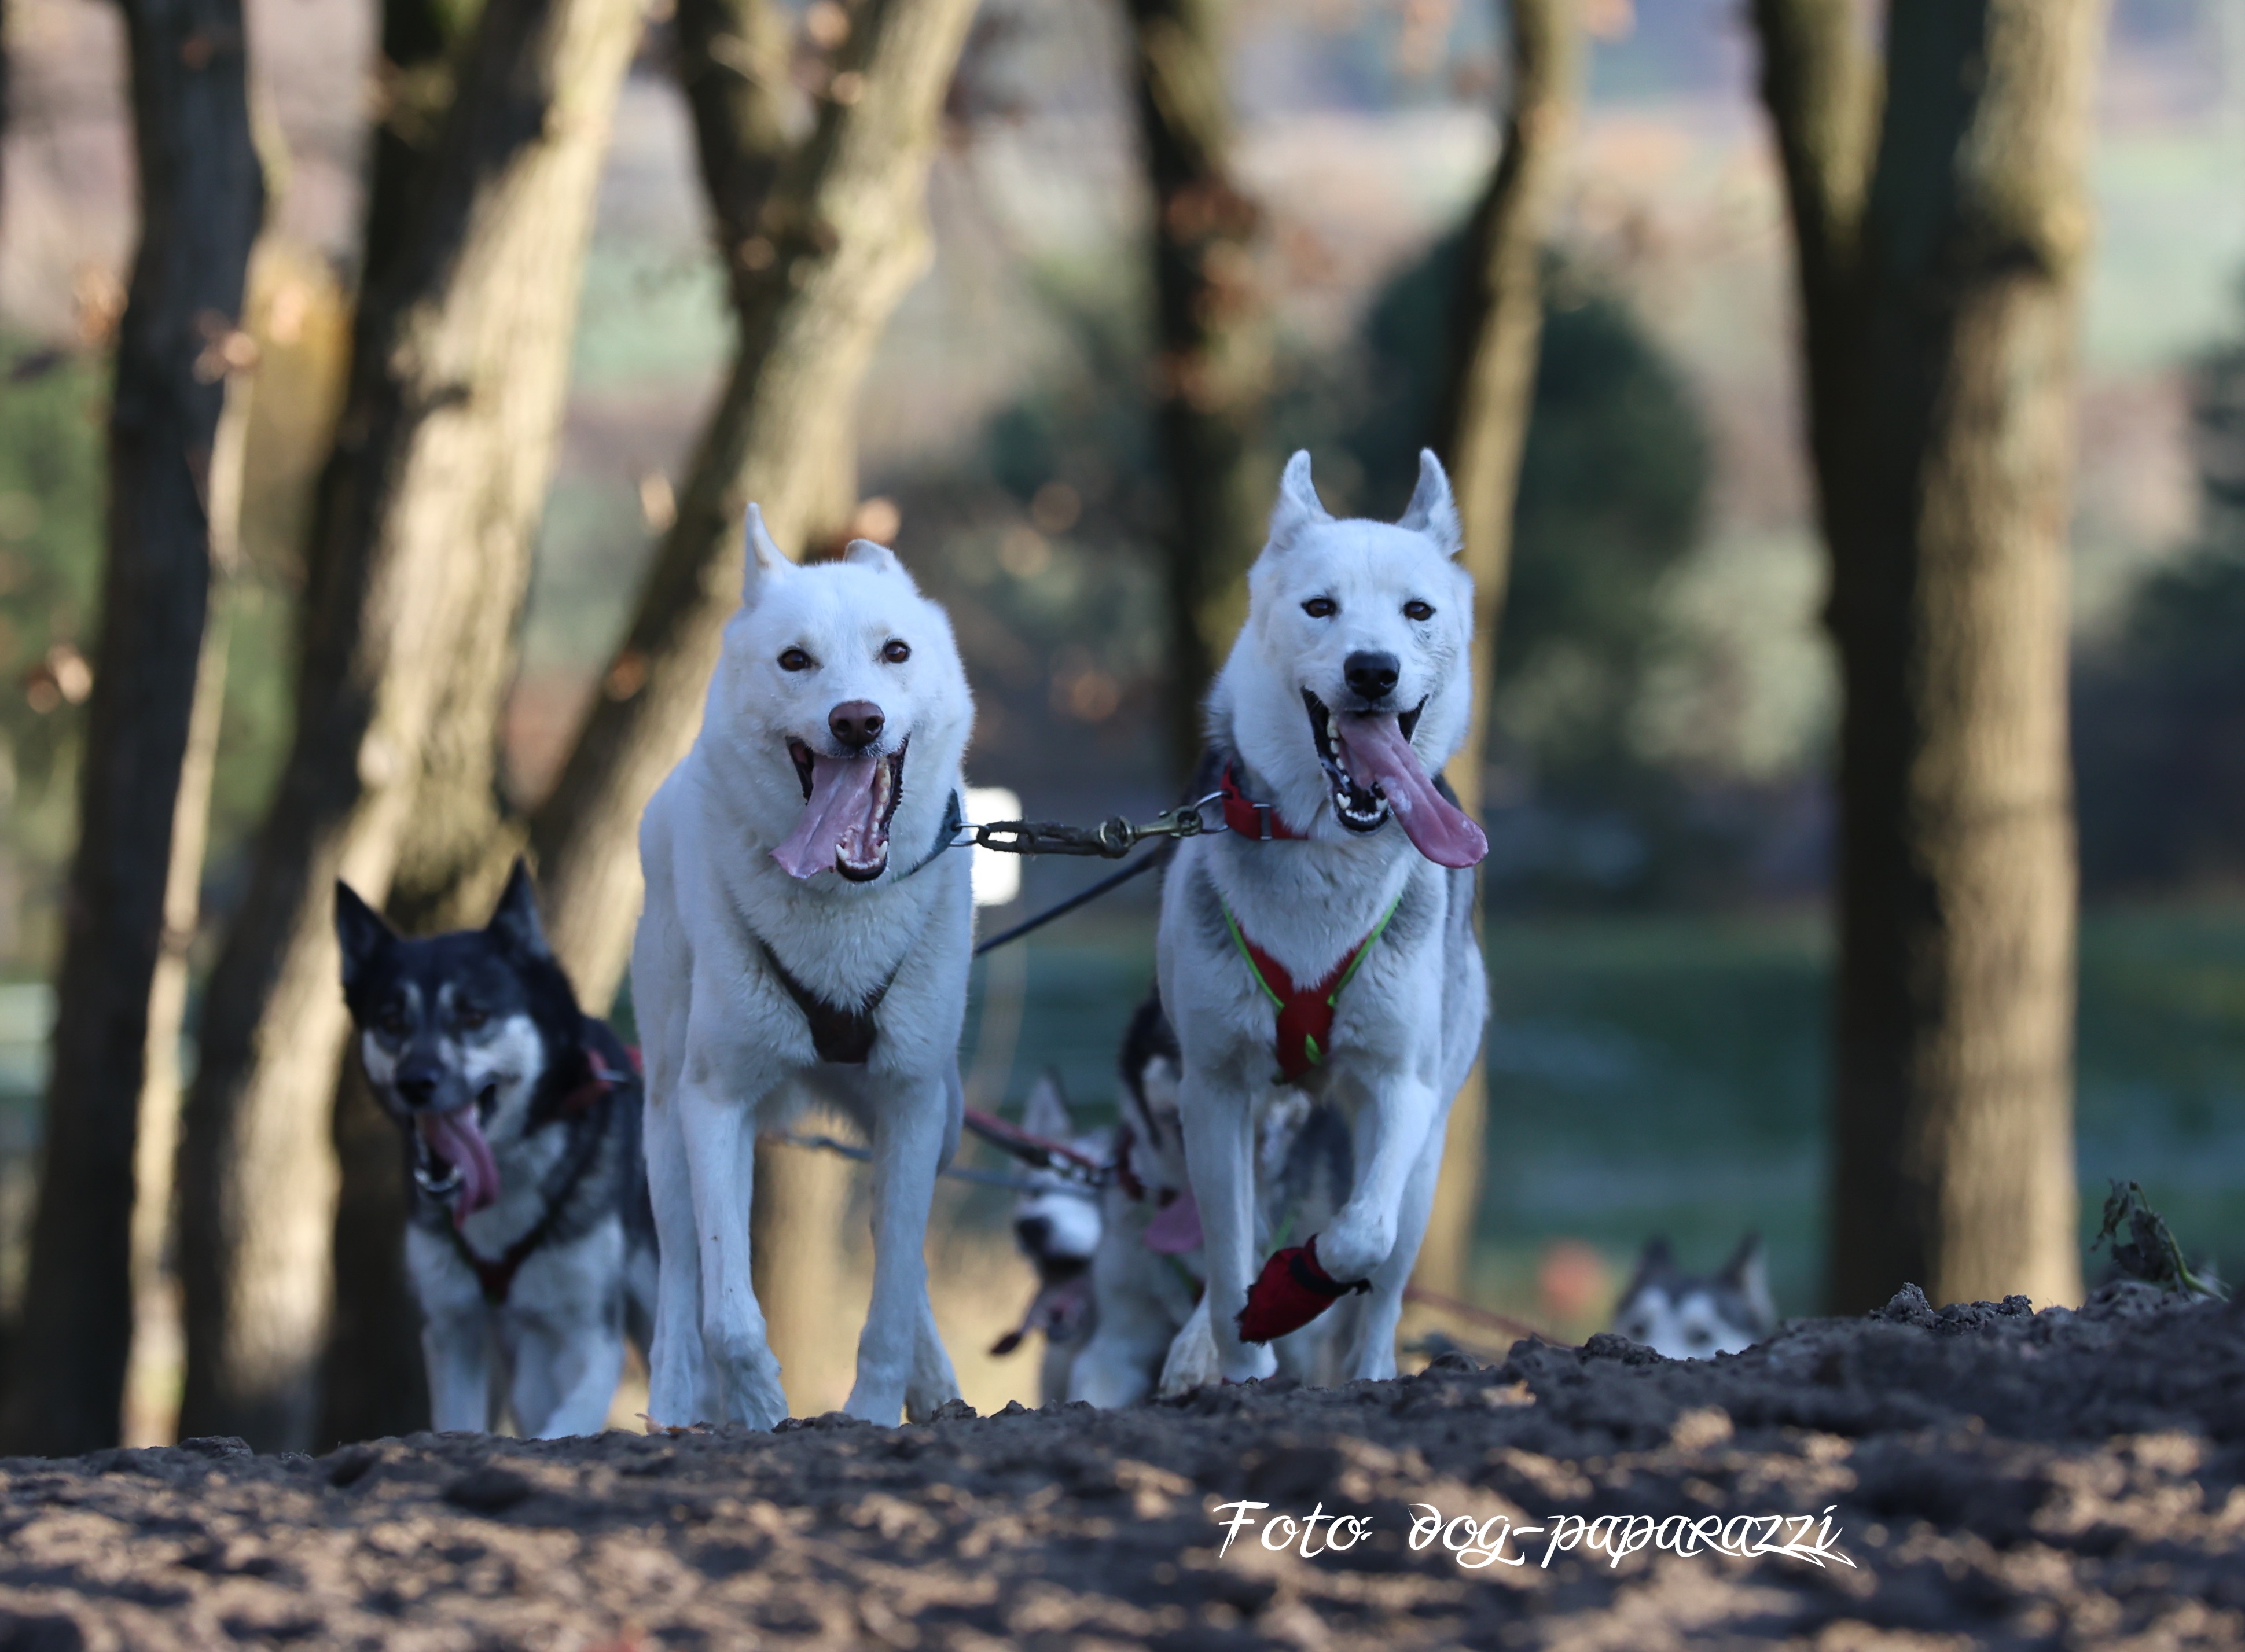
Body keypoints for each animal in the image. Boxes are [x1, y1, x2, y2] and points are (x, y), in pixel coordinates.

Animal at [637, 509, 979, 1427]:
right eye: (795, 660)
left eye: (895, 651)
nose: (857, 720)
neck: (838, 910)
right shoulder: (714, 1103)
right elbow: (728, 1314)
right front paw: (758, 1411)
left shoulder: (912, 1101)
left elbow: (891, 1296)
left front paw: (872, 1413)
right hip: (663, 1120)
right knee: (679, 1282)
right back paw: (672, 1407)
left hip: (942, 1121)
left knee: (909, 1262)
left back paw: (938, 1390)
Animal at [1158, 444, 1490, 1392]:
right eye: (1319, 607)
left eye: (1417, 611)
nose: (1373, 669)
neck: (1326, 848)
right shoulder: (1214, 1087)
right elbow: (1227, 1252)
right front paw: (1238, 1358)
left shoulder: (1400, 1084)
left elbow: (1358, 1236)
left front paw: (1289, 1293)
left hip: (1427, 1153)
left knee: (1384, 1284)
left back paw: (1372, 1371)